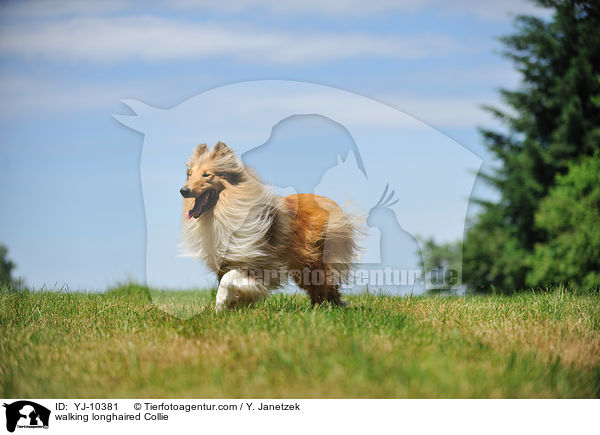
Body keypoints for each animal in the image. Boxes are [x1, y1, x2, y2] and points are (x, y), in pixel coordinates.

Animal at [180, 144, 364, 314]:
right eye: (190, 174)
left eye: (206, 174)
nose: (183, 190)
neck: (222, 212)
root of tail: (330, 203)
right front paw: (231, 309)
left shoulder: (262, 264)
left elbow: (227, 280)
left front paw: (219, 306)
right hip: (304, 265)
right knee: (320, 289)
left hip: (317, 260)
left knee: (327, 286)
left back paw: (328, 309)